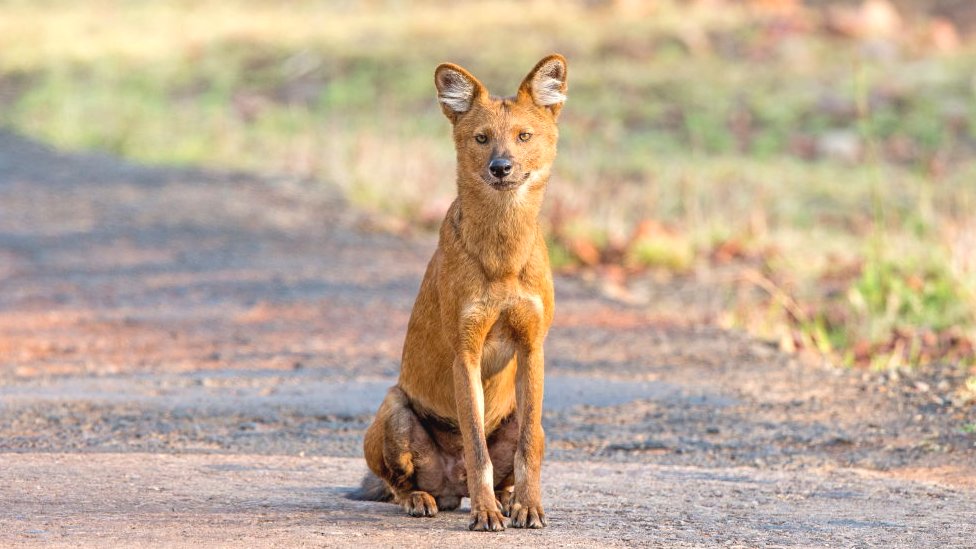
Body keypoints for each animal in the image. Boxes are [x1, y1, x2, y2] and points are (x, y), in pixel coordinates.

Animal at [348, 55, 564, 532]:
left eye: (524, 136)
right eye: (481, 138)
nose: (500, 166)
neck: (503, 257)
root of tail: (453, 486)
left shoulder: (532, 347)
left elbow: (527, 449)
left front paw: (527, 507)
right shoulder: (465, 350)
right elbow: (475, 447)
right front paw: (485, 514)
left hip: (525, 413)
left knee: (523, 446)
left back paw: (506, 499)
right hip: (394, 406)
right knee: (398, 484)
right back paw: (425, 500)